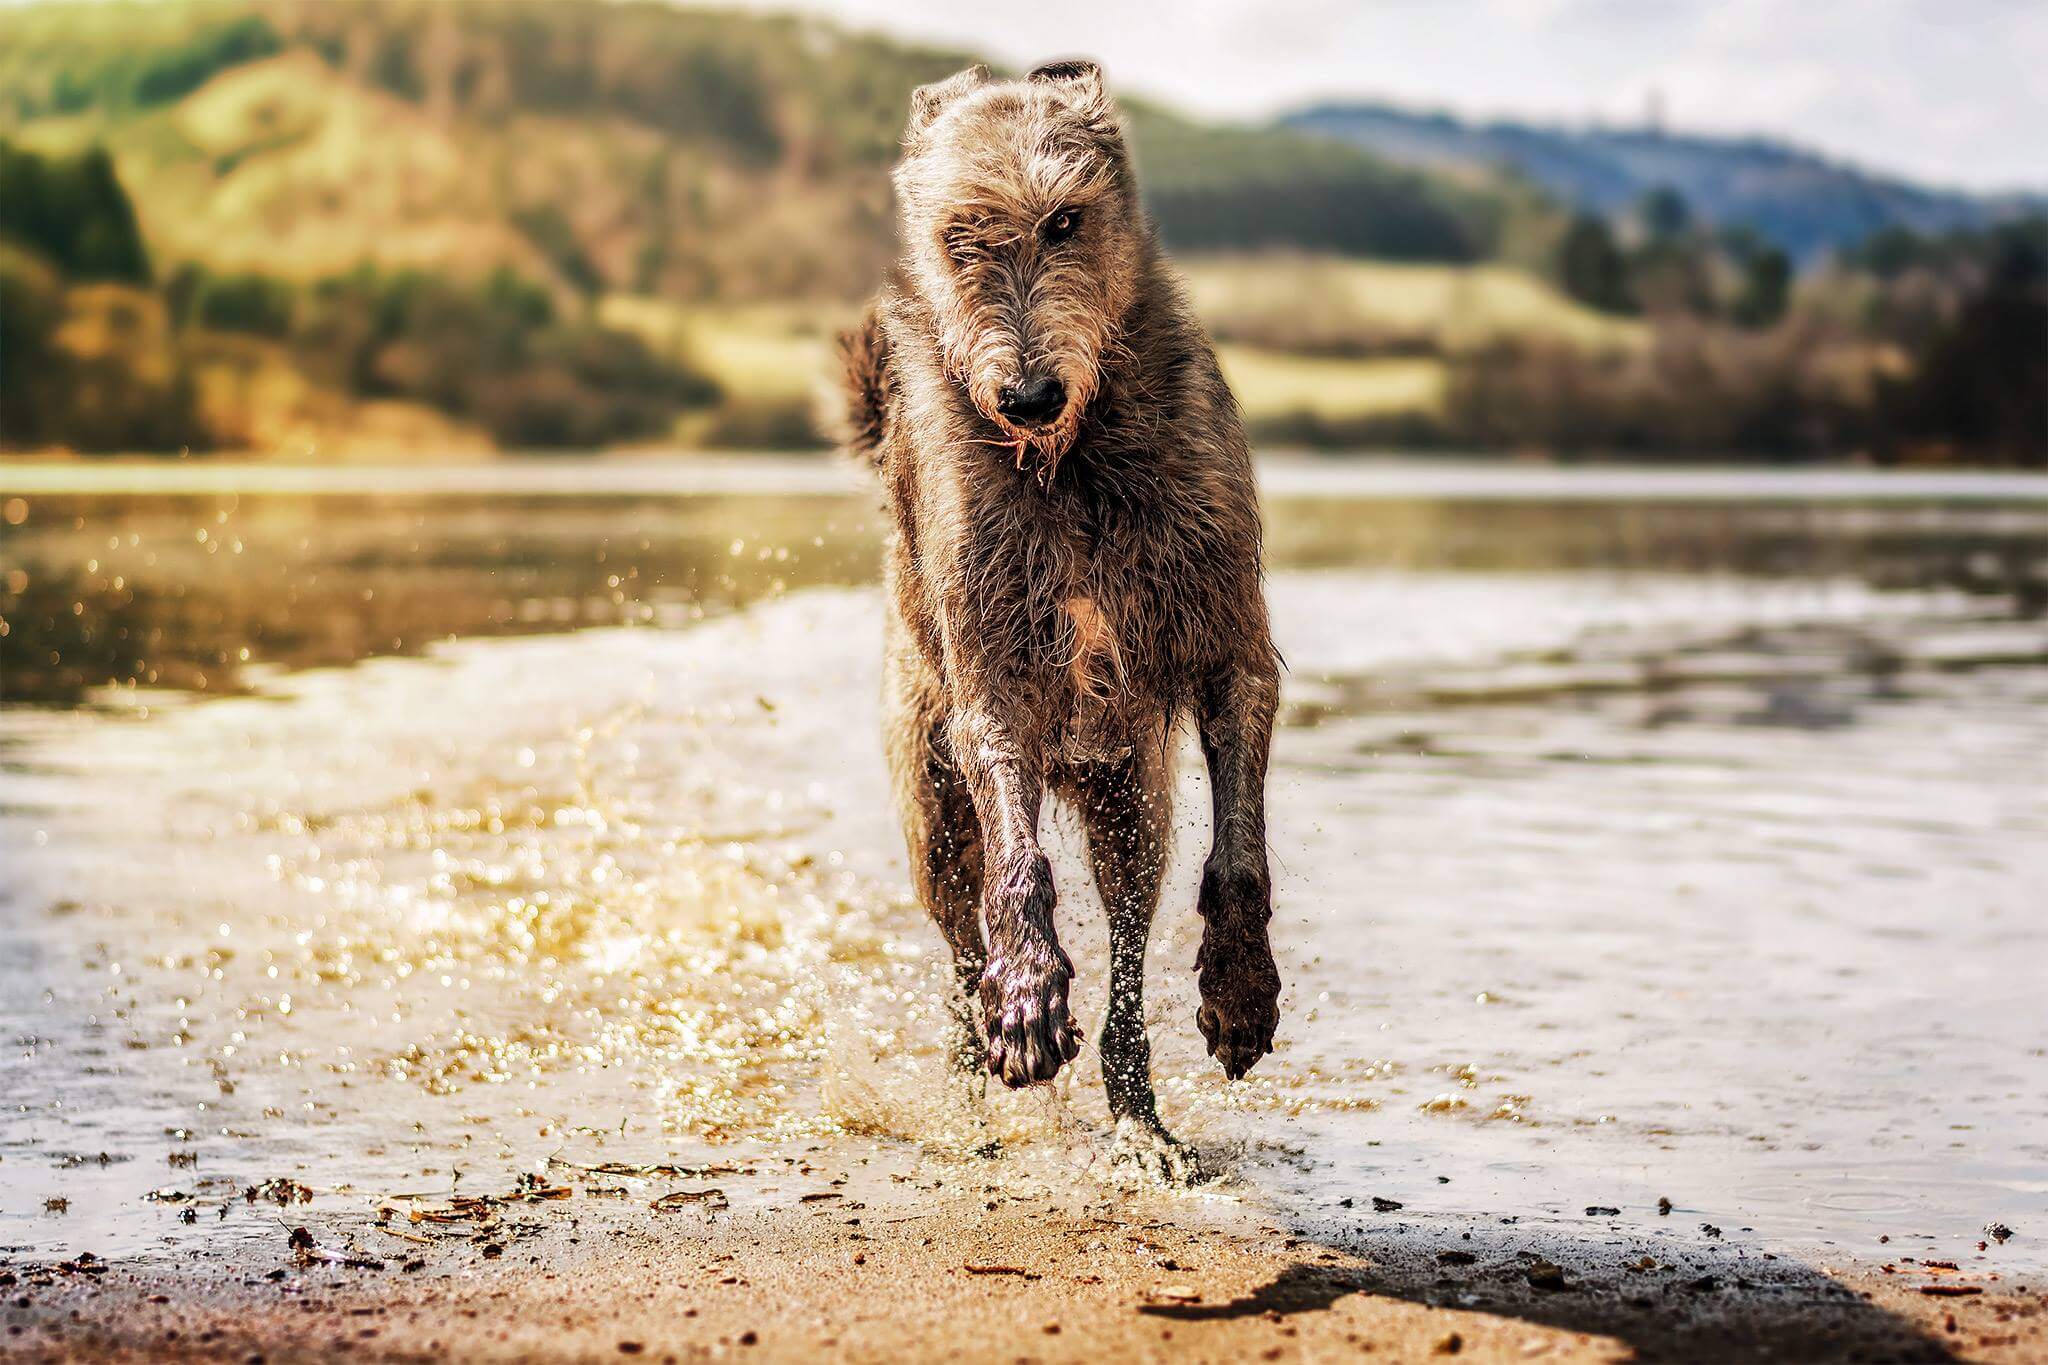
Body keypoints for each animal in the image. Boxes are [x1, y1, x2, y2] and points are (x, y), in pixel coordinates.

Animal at [839, 61, 1269, 1178]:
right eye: (960, 235)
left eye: (1066, 219)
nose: (1028, 394)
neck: (1072, 466)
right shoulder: (991, 675)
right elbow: (1014, 852)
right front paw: (1028, 993)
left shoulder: (1225, 638)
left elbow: (1239, 842)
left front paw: (1241, 987)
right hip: (929, 799)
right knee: (960, 939)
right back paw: (973, 1087)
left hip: (1129, 798)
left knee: (1128, 936)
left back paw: (1138, 1117)